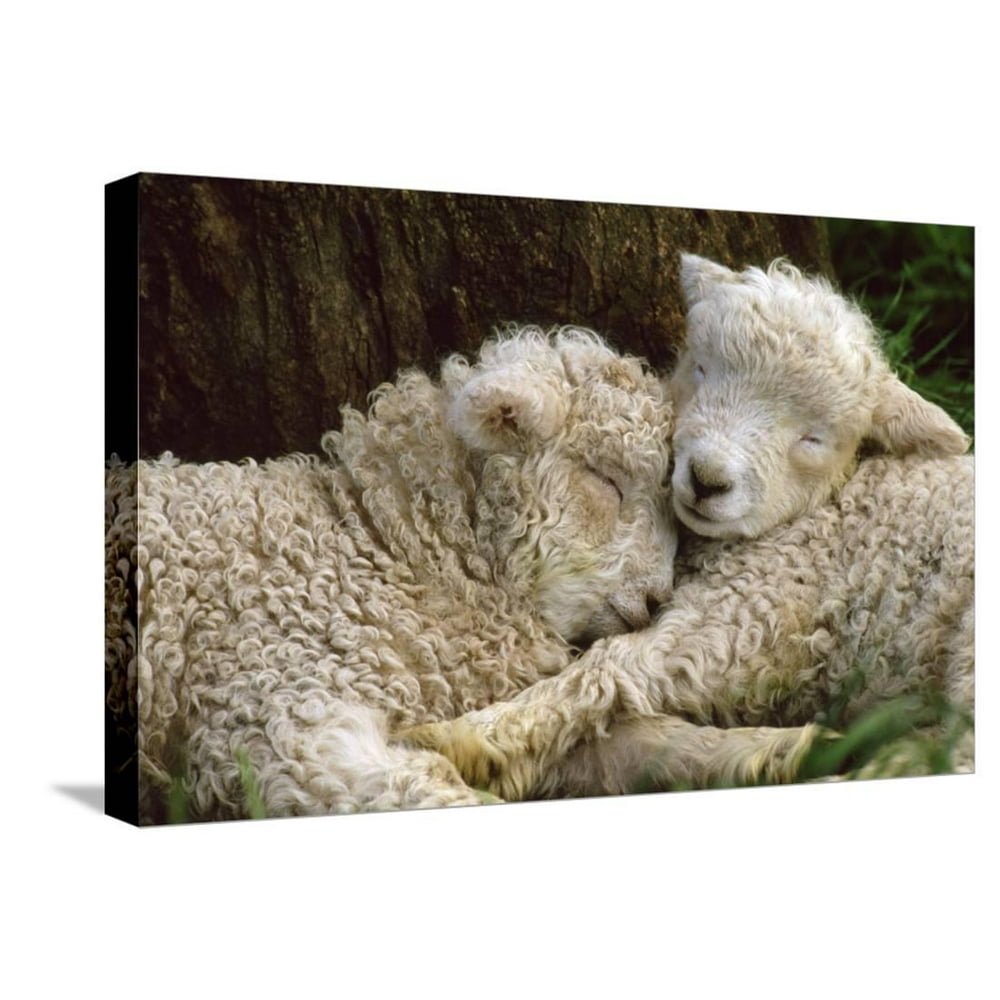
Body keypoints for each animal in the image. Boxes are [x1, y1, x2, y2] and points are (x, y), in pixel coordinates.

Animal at [402, 255, 974, 800]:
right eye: (699, 367)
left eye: (814, 438)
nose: (707, 478)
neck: (816, 512)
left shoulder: (750, 608)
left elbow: (607, 667)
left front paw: (463, 735)